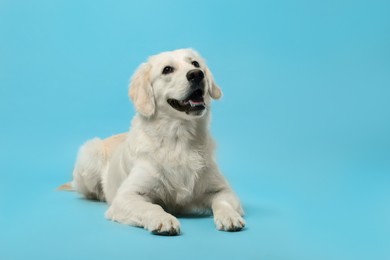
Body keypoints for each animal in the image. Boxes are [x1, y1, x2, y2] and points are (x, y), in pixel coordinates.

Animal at [70, 48, 245, 236]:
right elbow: (152, 207)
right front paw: (164, 220)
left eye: (195, 63)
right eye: (167, 69)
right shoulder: (126, 196)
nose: (197, 74)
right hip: (90, 153)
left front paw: (230, 216)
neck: (179, 138)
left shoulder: (223, 190)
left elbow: (223, 202)